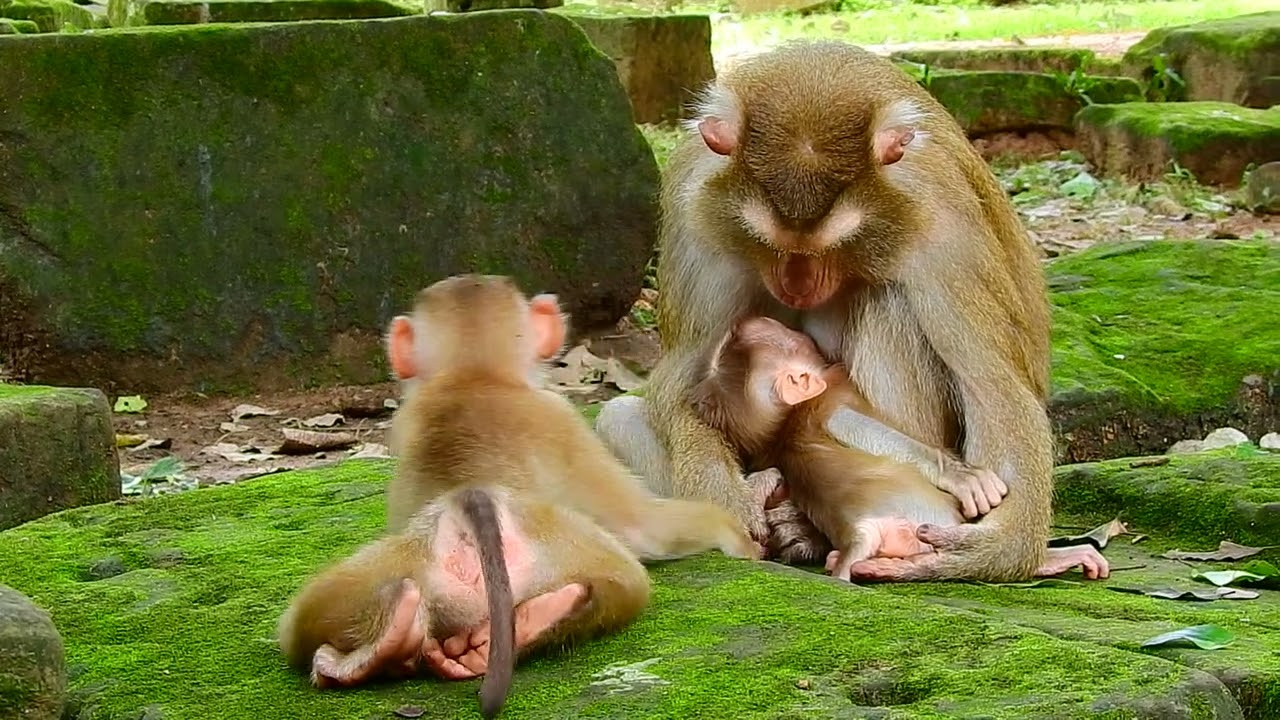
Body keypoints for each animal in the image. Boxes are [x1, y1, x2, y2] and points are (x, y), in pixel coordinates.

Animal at [595, 39, 1056, 582]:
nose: (798, 286)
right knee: (619, 415)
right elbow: (686, 369)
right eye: (766, 242)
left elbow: (991, 384)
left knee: (888, 304)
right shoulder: (695, 209)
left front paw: (993, 547)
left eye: (836, 244)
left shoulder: (942, 220)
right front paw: (727, 501)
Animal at [688, 315, 1109, 582]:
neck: (791, 420)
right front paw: (962, 477)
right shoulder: (836, 403)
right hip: (930, 520)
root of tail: (857, 531)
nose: (750, 320)